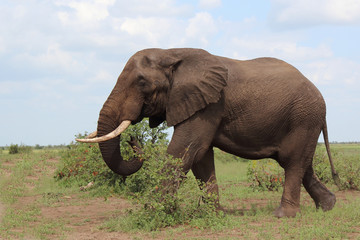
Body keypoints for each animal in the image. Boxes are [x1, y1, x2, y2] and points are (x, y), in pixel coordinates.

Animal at [77, 48, 338, 218]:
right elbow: (200, 158)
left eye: (141, 83)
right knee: (301, 163)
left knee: (293, 163)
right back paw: (328, 206)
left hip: (304, 117)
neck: (171, 53)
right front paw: (215, 214)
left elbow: (185, 150)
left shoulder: (208, 105)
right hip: (303, 120)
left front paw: (152, 211)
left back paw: (284, 215)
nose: (133, 139)